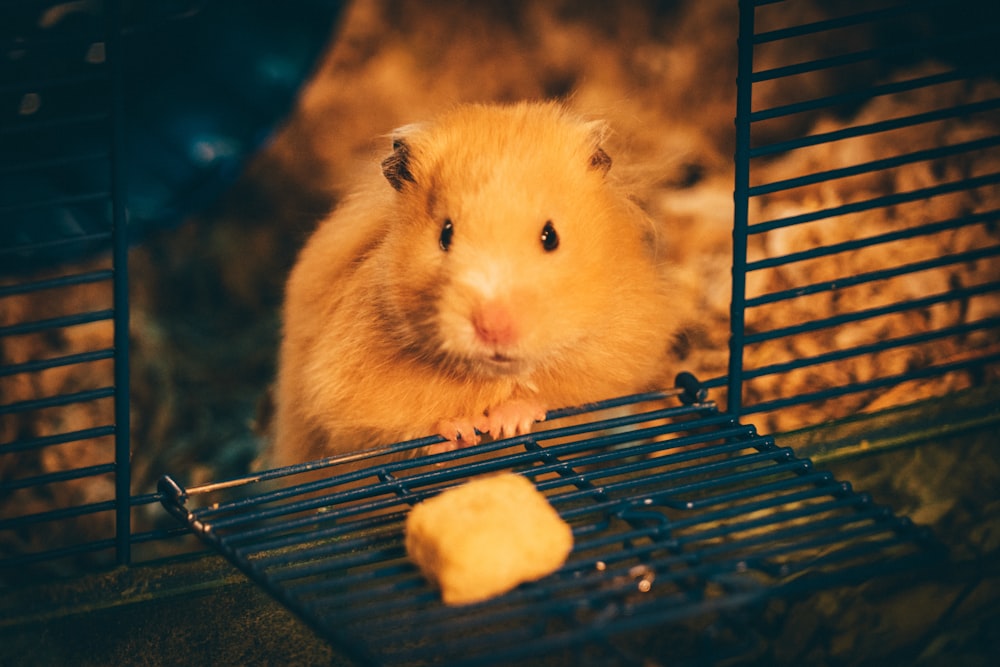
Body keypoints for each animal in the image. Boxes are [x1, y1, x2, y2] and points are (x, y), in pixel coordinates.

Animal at [266, 103, 684, 470]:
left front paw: (506, 422)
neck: (487, 375)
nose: (494, 328)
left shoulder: (619, 355)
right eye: (445, 234)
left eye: (550, 236)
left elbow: (556, 393)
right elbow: (395, 426)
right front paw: (464, 429)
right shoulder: (341, 392)